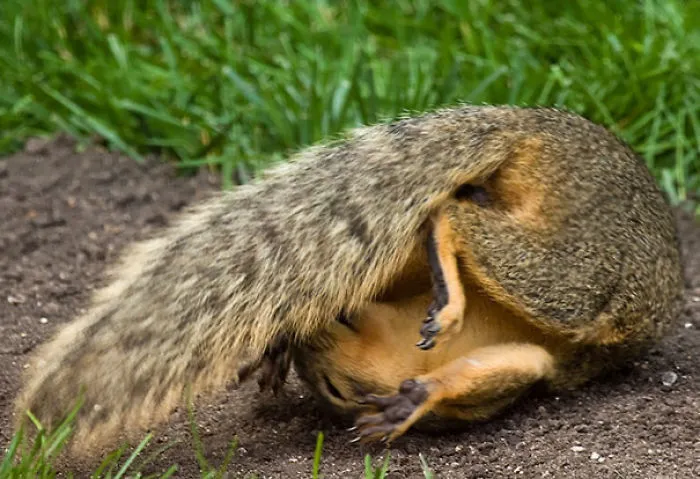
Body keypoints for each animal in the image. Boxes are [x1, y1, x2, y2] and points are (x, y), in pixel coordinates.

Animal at [14, 105, 684, 455]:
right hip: (581, 270)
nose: (310, 342)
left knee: (447, 216)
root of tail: (539, 126)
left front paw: (413, 401)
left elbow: (495, 369)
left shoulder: (526, 359)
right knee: (449, 214)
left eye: (337, 387)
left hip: (578, 265)